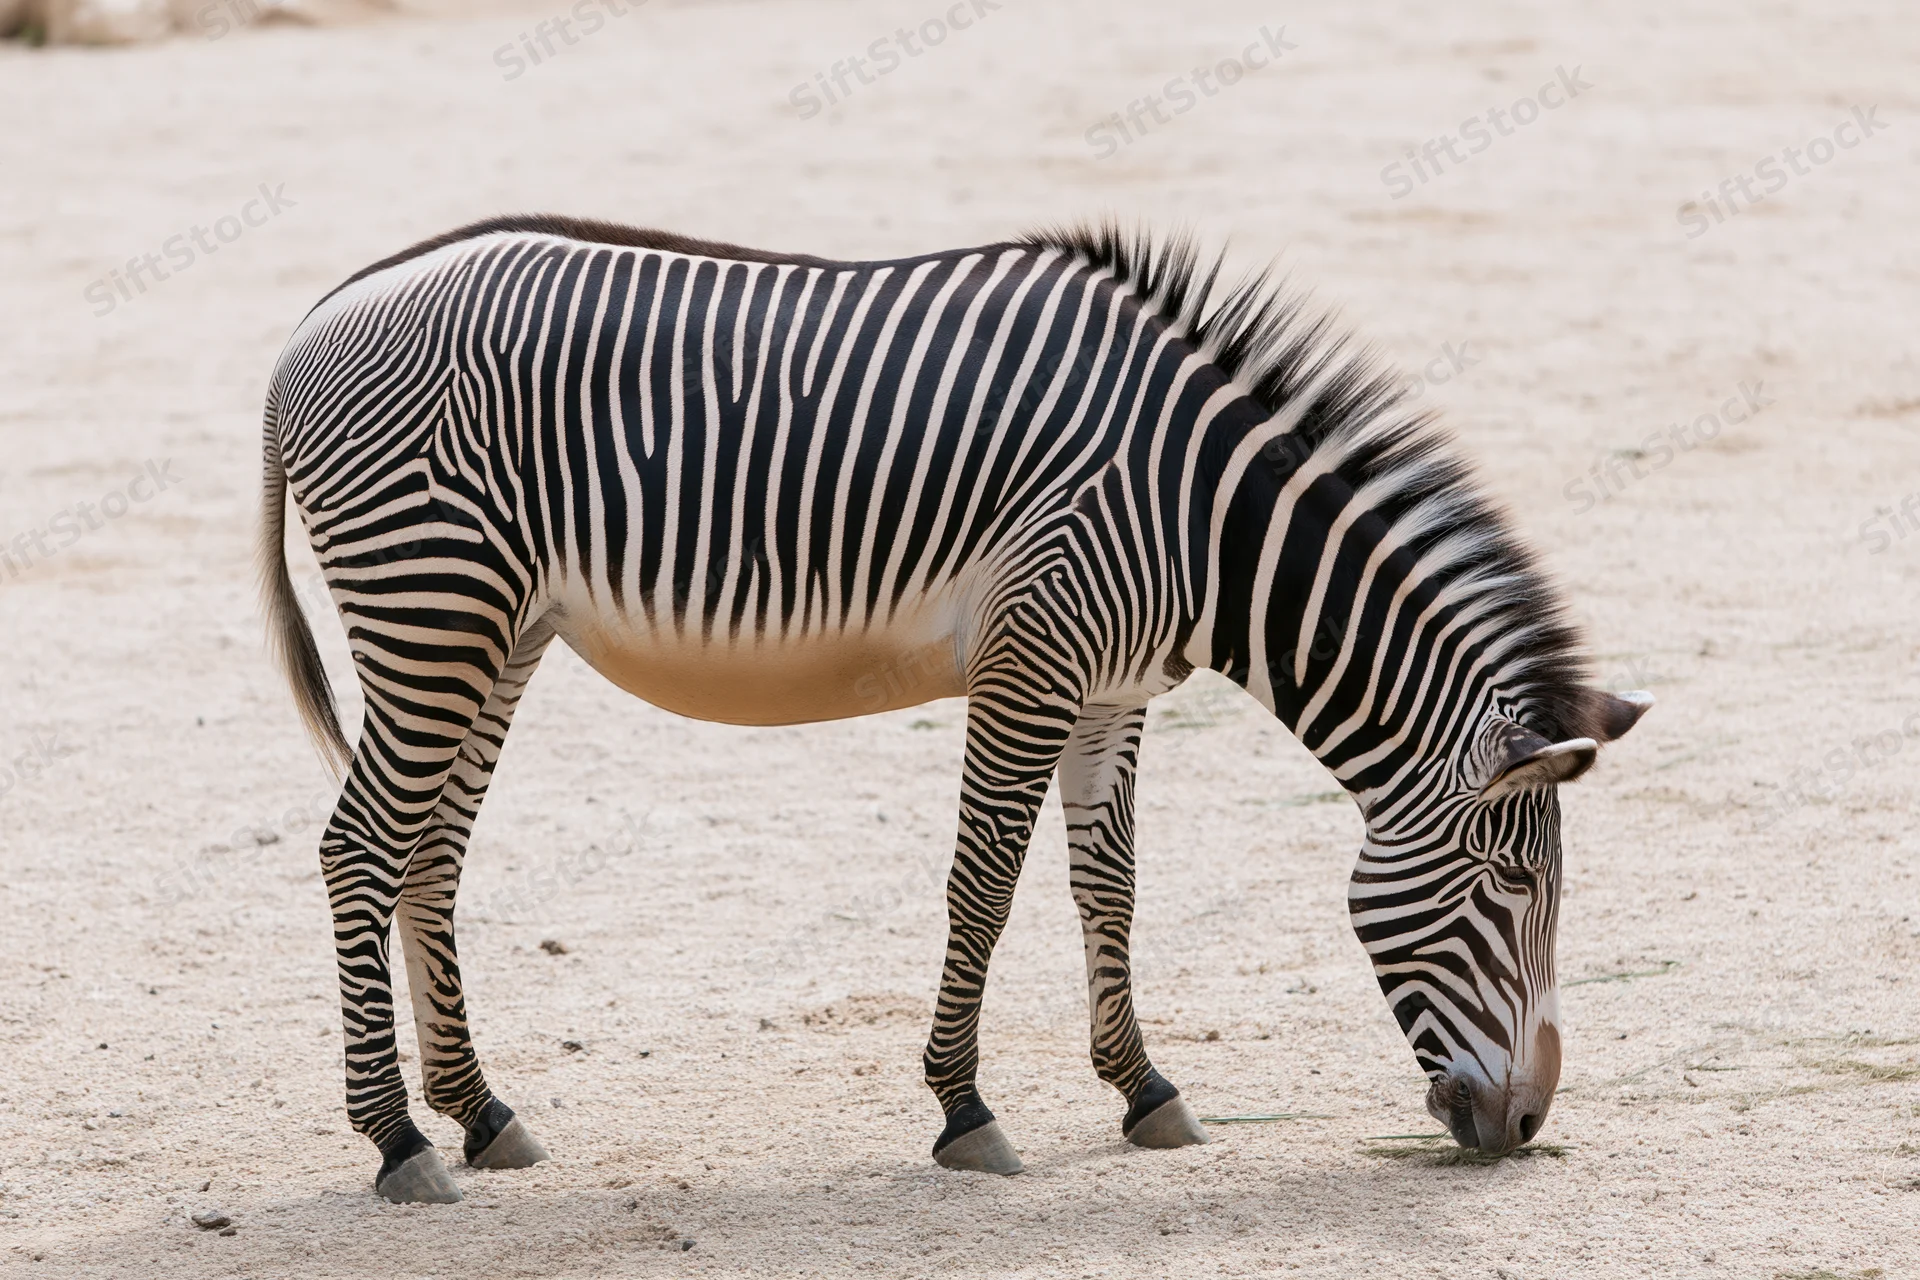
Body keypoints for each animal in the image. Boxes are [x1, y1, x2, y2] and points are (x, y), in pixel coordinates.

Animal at [259, 215, 1651, 1203]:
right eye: (1515, 887)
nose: (1527, 1124)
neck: (1202, 519)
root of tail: (312, 323)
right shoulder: (1032, 660)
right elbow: (982, 883)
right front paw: (964, 1108)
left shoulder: (1111, 689)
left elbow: (1108, 885)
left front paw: (1142, 1087)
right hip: (433, 604)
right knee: (360, 850)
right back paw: (396, 1138)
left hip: (496, 630)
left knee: (430, 857)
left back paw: (480, 1111)